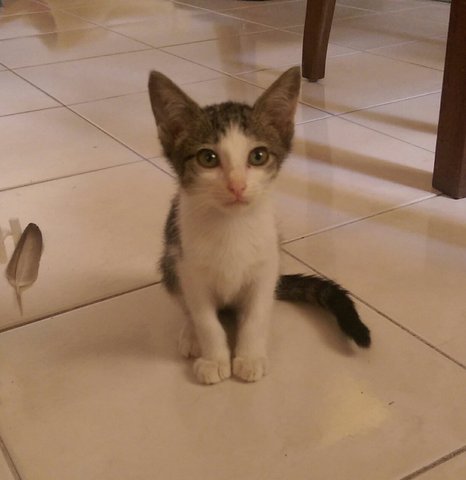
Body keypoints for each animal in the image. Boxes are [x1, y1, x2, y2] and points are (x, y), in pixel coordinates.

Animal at [147, 66, 370, 386]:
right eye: (207, 158)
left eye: (258, 156)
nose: (237, 186)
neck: (232, 226)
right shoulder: (189, 268)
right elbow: (205, 319)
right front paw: (214, 359)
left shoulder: (266, 266)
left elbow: (255, 317)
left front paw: (250, 356)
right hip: (169, 262)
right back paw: (191, 336)